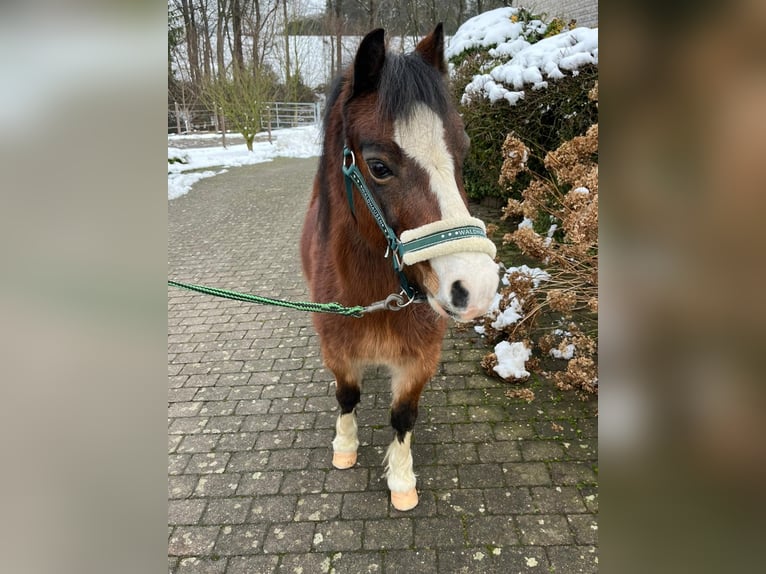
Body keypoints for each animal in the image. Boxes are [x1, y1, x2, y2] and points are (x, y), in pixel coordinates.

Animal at [300, 25, 498, 512]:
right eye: (378, 166)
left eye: (464, 151)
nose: (478, 287)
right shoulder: (337, 350)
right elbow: (346, 396)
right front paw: (345, 447)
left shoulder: (419, 359)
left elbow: (403, 415)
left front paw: (403, 480)